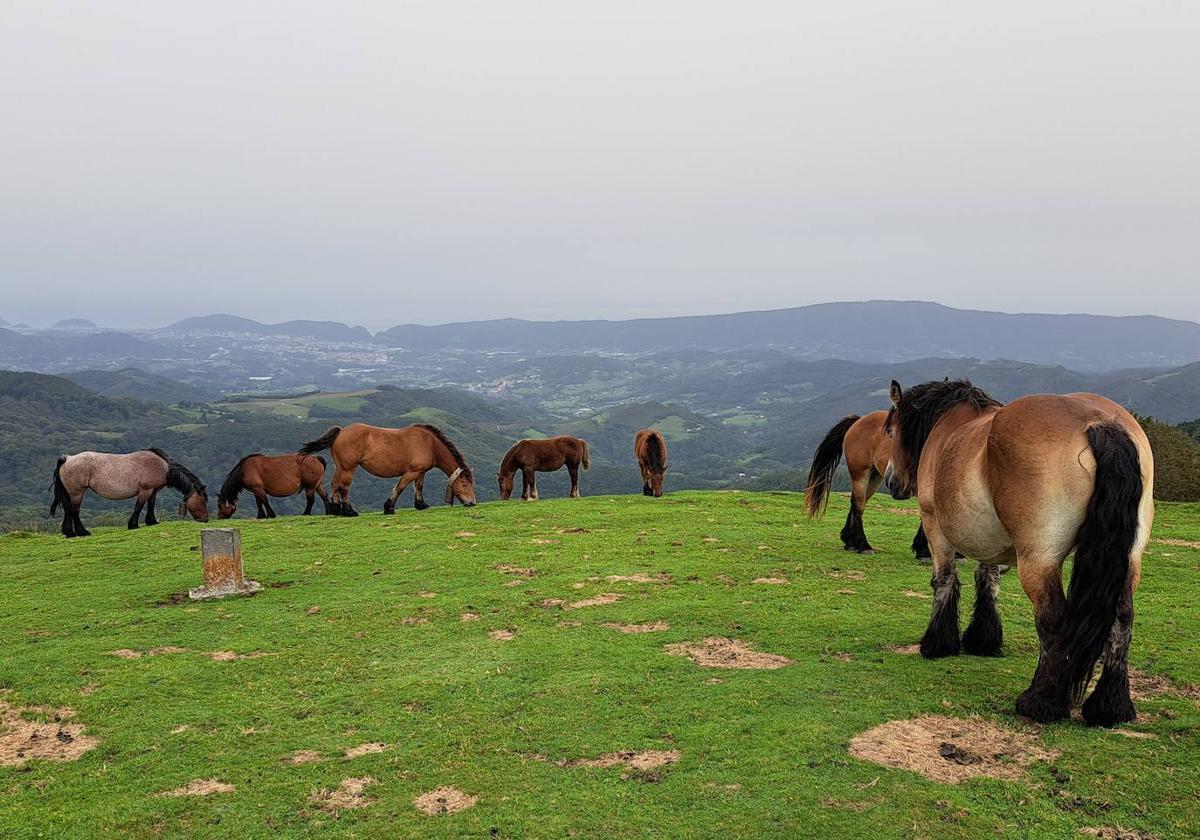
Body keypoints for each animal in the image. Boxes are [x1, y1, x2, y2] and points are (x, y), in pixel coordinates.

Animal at [50, 446, 210, 537]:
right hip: (77, 492)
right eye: (202, 501)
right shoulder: (145, 490)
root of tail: (68, 459)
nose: (206, 519)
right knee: (74, 510)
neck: (162, 467)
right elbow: (139, 507)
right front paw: (133, 525)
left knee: (68, 510)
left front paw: (151, 521)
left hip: (71, 493)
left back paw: (69, 532)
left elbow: (150, 505)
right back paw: (82, 532)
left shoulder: (153, 491)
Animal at [297, 422, 475, 516]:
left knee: (334, 485)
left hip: (340, 467)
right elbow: (399, 487)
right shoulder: (411, 472)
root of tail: (341, 431)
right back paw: (349, 511)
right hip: (349, 468)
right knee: (343, 488)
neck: (429, 444)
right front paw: (388, 507)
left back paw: (336, 510)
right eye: (464, 484)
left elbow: (419, 487)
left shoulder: (420, 472)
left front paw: (421, 504)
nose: (472, 502)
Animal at [801, 412, 931, 556]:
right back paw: (863, 545)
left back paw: (850, 542)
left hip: (874, 477)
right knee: (858, 504)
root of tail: (859, 419)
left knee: (857, 502)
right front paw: (923, 550)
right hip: (860, 474)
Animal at [883, 381, 1152, 729]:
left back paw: (1041, 701)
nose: (891, 480)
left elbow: (944, 580)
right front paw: (983, 639)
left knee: (1053, 617)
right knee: (1122, 616)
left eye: (890, 430)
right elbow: (987, 579)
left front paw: (937, 642)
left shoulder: (933, 525)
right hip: (1129, 559)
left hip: (1038, 560)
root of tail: (1098, 422)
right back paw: (1110, 706)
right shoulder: (989, 540)